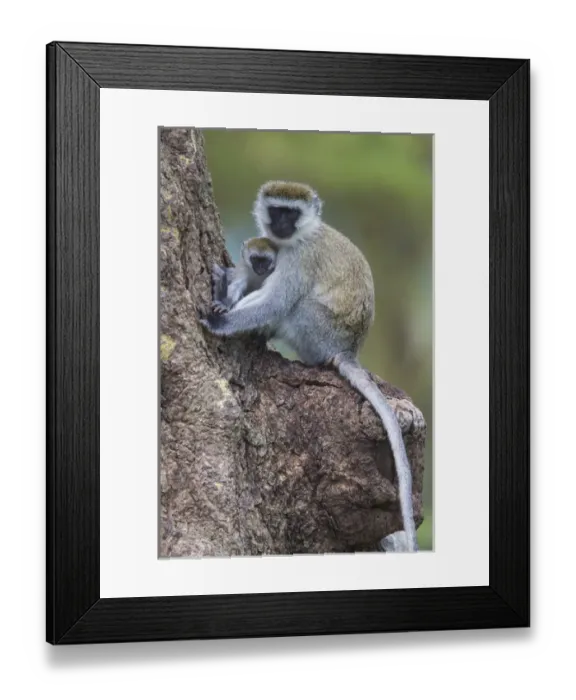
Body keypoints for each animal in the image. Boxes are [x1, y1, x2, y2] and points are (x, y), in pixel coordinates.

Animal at [200, 180, 419, 553]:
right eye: (277, 210)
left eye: (292, 213)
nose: (280, 225)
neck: (299, 238)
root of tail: (346, 350)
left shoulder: (297, 259)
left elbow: (277, 302)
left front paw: (222, 320)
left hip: (315, 330)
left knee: (295, 306)